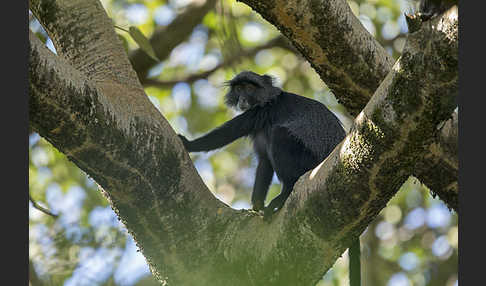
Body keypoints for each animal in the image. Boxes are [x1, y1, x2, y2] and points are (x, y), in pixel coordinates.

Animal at [178, 71, 346, 219]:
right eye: (238, 89)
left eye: (249, 88)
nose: (242, 100)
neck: (268, 98)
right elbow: (264, 161)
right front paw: (257, 207)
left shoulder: (261, 112)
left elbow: (226, 134)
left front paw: (189, 144)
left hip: (308, 160)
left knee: (279, 135)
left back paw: (286, 192)